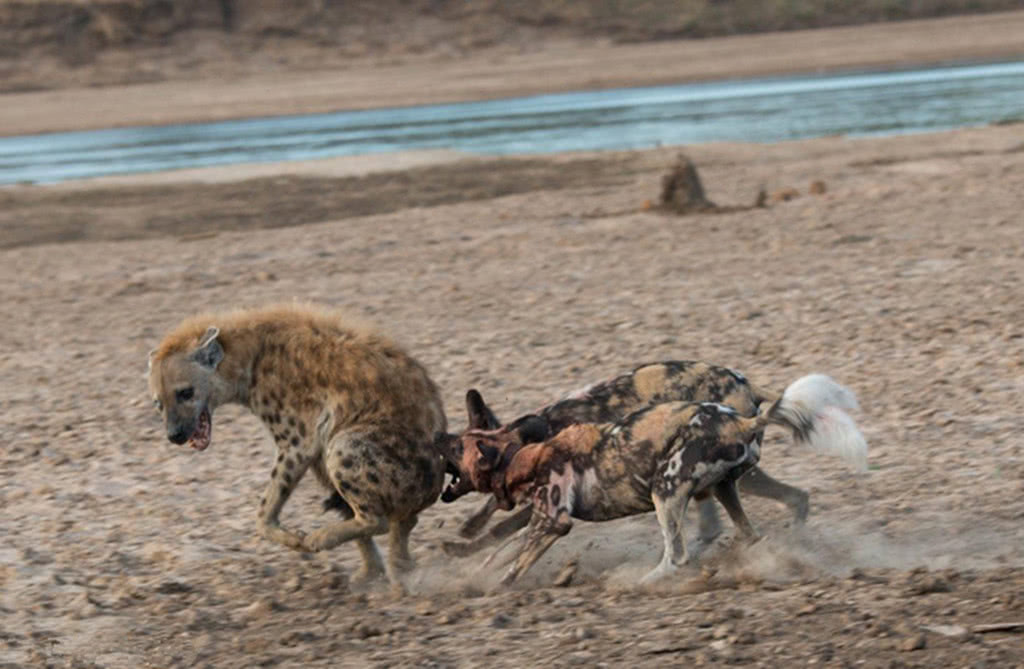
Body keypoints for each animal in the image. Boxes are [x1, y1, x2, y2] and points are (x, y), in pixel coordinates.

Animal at [147, 303, 444, 590]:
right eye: (158, 403)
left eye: (186, 392)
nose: (175, 434)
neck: (248, 363)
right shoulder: (312, 441)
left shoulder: (299, 439)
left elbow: (264, 509)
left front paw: (297, 539)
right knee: (398, 519)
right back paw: (386, 572)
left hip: (352, 446)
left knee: (376, 519)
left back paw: (321, 538)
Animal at [432, 362, 806, 557]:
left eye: (455, 448)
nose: (435, 437)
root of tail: (747, 384)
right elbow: (492, 512)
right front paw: (470, 527)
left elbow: (501, 529)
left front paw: (463, 548)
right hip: (723, 480)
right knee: (793, 497)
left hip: (728, 476)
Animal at [479, 372, 864, 581]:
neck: (533, 456)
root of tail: (742, 420)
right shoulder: (538, 522)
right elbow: (497, 556)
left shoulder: (552, 522)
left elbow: (510, 571)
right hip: (724, 487)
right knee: (749, 532)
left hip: (665, 492)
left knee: (676, 557)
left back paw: (636, 582)